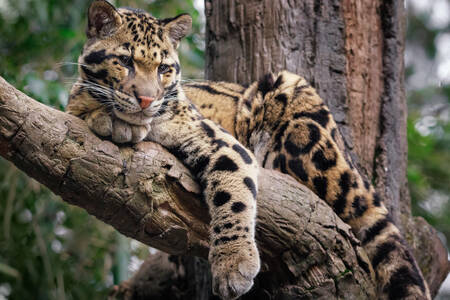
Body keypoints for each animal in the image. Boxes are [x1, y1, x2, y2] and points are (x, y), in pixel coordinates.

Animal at [67, 1, 428, 298]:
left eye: (163, 69)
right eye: (125, 61)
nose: (146, 99)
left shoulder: (219, 140)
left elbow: (233, 194)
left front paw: (233, 264)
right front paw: (107, 117)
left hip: (289, 95)